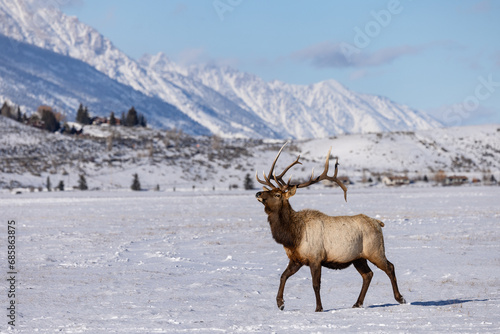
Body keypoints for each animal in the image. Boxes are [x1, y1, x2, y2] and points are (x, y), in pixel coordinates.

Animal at [256, 142, 404, 312]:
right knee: (368, 274)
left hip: (375, 250)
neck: (292, 237)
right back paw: (357, 303)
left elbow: (315, 284)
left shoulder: (316, 257)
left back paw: (400, 298)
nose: (258, 193)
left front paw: (319, 308)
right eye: (268, 190)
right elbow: (283, 276)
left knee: (389, 267)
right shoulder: (296, 259)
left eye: (277, 195)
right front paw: (280, 303)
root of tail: (378, 223)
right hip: (358, 257)